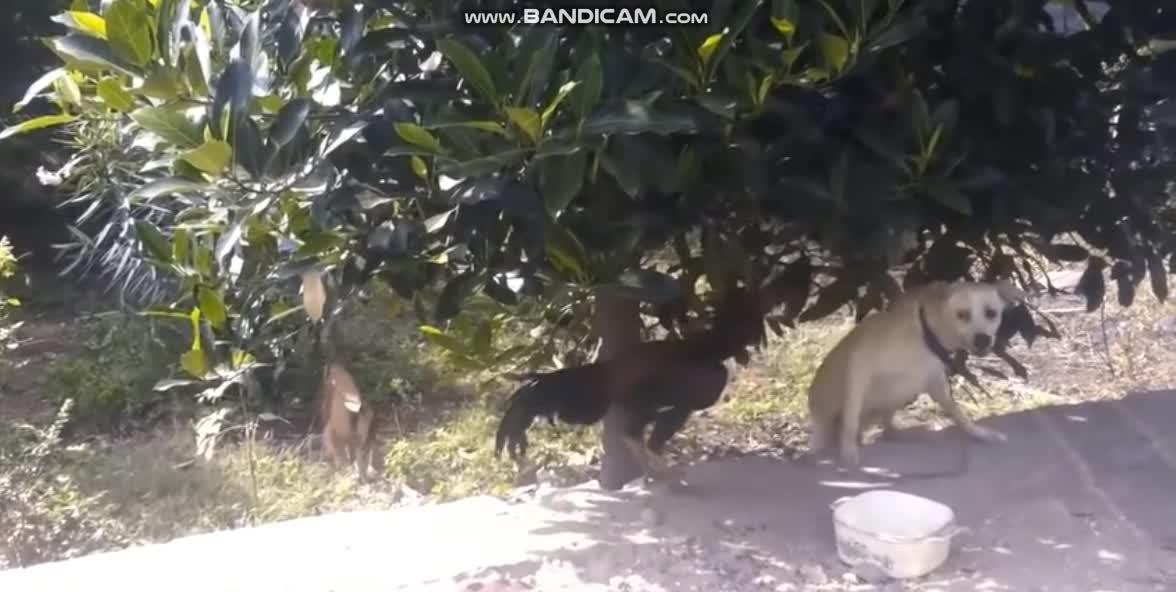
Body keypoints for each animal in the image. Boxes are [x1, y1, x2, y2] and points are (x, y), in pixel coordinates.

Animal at [804, 280, 1025, 470]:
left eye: (991, 313)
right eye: (962, 315)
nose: (982, 339)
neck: (925, 336)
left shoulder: (936, 384)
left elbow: (958, 413)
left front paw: (979, 433)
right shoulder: (859, 369)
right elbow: (850, 420)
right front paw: (849, 452)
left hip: (901, 396)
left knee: (888, 428)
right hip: (826, 420)